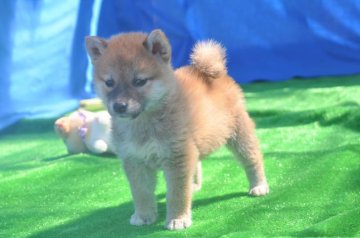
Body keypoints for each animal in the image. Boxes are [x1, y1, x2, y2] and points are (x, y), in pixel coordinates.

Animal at [86, 28, 268, 230]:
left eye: (139, 81)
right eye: (109, 83)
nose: (119, 106)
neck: (144, 124)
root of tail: (212, 72)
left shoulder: (176, 159)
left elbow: (177, 194)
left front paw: (178, 218)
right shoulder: (136, 161)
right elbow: (141, 193)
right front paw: (144, 215)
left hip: (239, 134)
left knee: (253, 159)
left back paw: (259, 185)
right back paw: (194, 186)